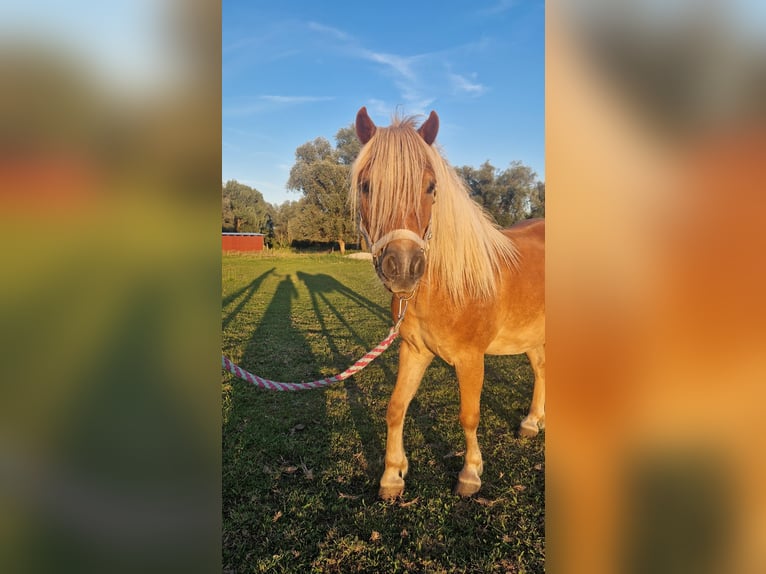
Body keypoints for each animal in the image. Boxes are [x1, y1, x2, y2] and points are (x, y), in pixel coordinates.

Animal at [352, 108, 544, 500]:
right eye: (366, 186)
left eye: (430, 186)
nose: (403, 267)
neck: (450, 287)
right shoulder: (414, 351)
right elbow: (396, 407)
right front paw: (392, 475)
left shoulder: (471, 359)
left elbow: (469, 415)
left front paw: (470, 473)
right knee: (540, 368)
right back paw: (532, 422)